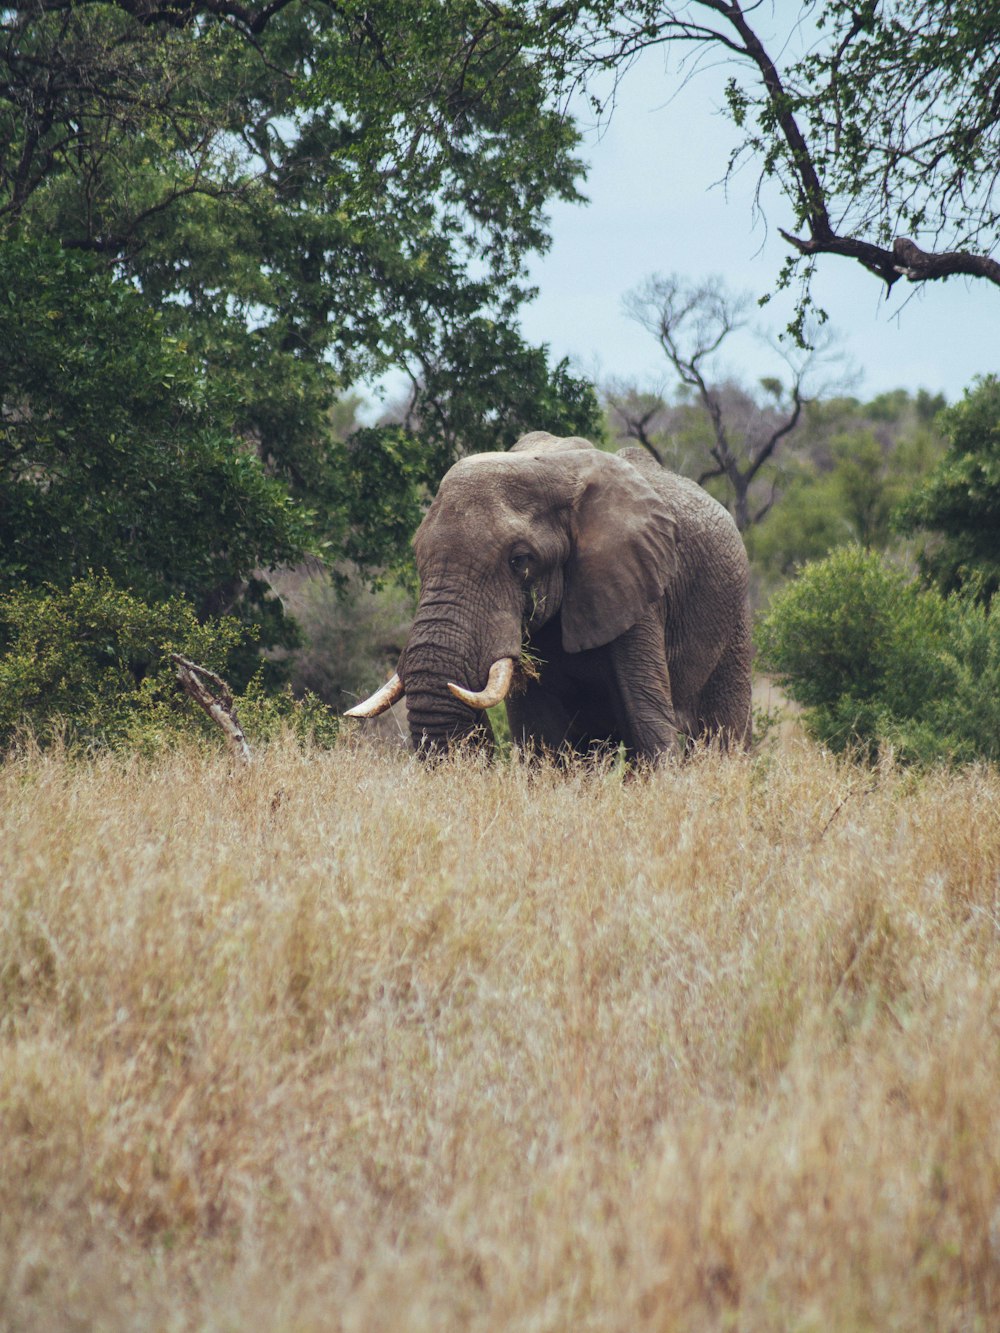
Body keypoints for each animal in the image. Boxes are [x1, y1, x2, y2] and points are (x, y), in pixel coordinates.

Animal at [346, 429, 752, 757]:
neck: (555, 468)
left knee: (722, 731)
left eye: (520, 560)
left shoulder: (637, 586)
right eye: (417, 555)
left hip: (735, 616)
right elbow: (540, 733)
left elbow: (646, 721)